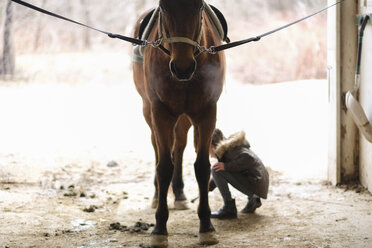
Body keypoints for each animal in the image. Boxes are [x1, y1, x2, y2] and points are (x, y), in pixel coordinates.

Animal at [134, 0, 227, 246]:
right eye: (164, 8)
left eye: (198, 7)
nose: (182, 67)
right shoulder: (160, 112)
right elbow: (164, 166)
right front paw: (159, 229)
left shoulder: (206, 112)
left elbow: (202, 167)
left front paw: (206, 226)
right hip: (149, 111)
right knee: (158, 149)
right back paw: (159, 194)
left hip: (184, 118)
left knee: (180, 146)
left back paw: (179, 194)